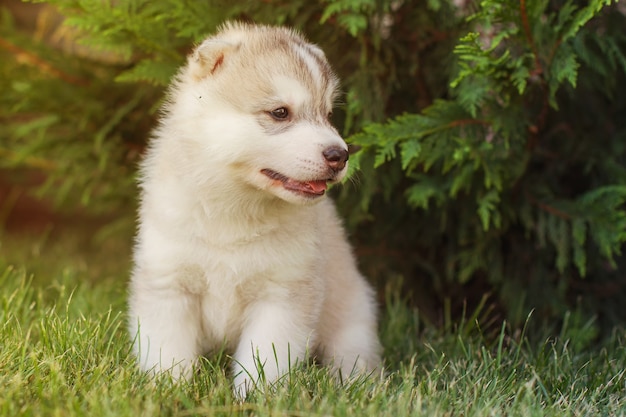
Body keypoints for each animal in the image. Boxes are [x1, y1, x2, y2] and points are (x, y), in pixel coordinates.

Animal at [127, 21, 380, 394]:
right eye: (280, 112)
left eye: (328, 114)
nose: (340, 155)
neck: (235, 208)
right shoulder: (168, 282)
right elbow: (168, 349)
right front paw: (168, 389)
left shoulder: (283, 293)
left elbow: (265, 357)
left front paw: (255, 396)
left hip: (353, 314)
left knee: (351, 353)